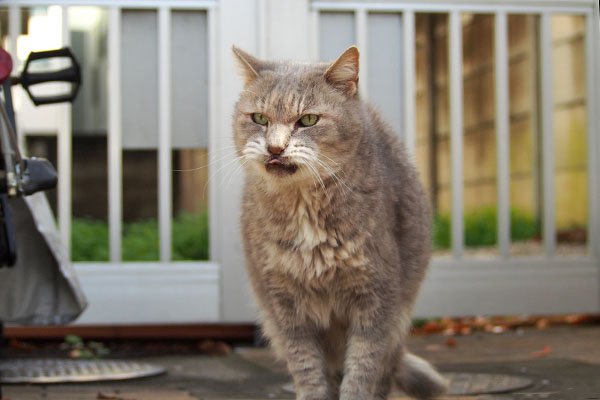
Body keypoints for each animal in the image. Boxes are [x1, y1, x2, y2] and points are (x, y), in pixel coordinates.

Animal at [232, 44, 448, 400]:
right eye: (259, 118)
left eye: (308, 119)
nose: (274, 147)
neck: (304, 207)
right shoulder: (284, 302)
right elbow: (306, 367)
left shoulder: (377, 296)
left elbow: (363, 367)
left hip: (398, 319)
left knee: (384, 370)